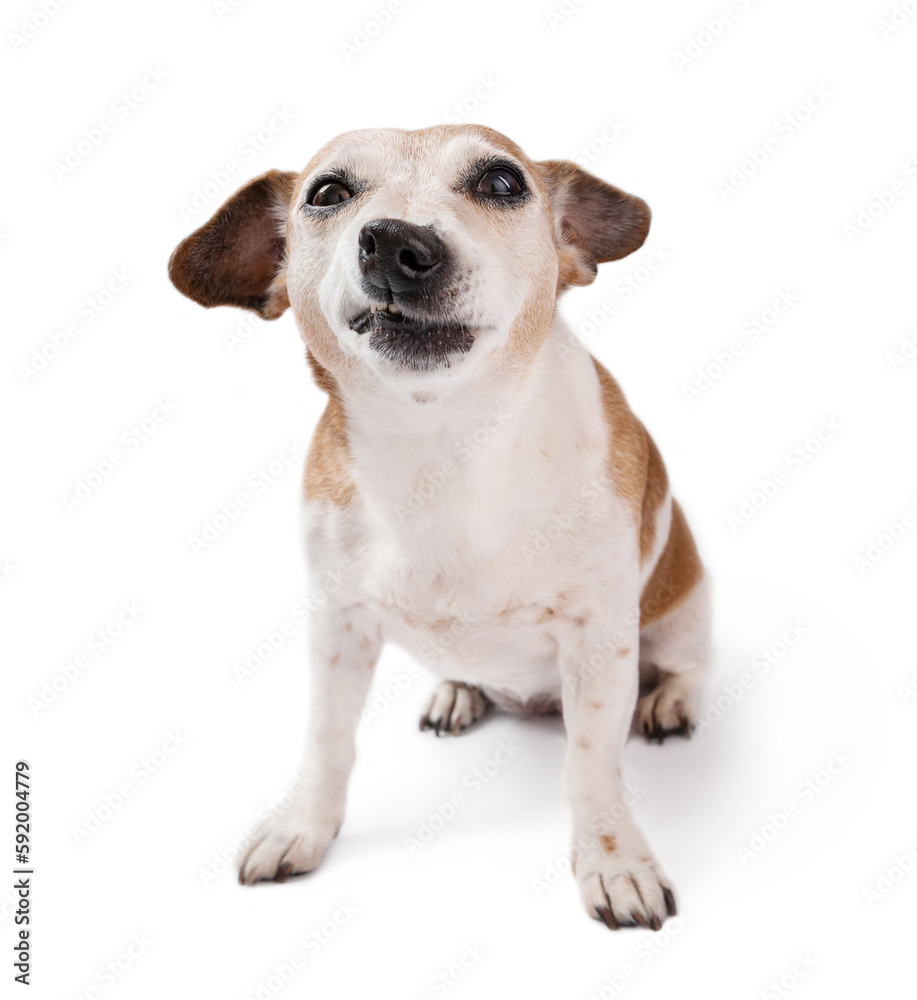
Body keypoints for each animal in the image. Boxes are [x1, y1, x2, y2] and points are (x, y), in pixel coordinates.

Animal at [166, 123, 708, 928]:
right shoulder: (338, 626)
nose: (397, 242)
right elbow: (328, 741)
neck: (443, 448)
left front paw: (614, 861)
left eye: (502, 182)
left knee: (688, 664)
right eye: (326, 192)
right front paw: (303, 826)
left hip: (683, 603)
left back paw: (671, 699)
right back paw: (459, 691)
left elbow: (590, 766)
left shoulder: (600, 641)